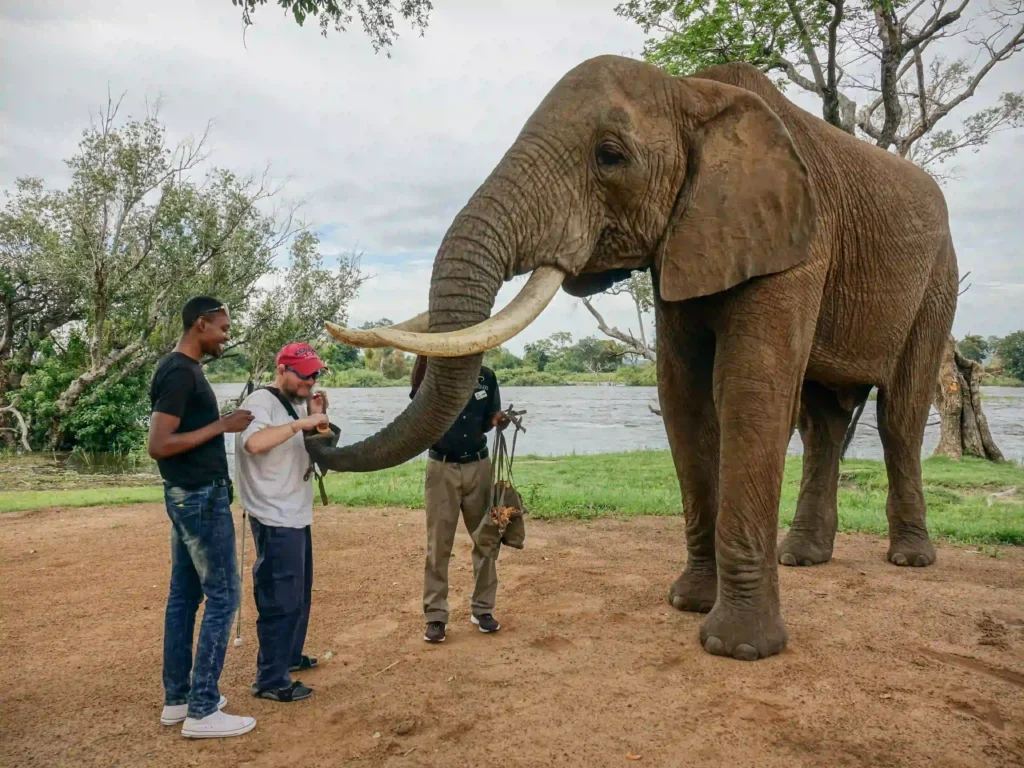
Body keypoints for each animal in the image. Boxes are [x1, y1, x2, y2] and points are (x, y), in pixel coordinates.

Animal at [308, 55, 958, 661]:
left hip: (938, 281)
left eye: (610, 156)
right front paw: (687, 602)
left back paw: (909, 559)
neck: (692, 91)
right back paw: (802, 558)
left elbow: (751, 390)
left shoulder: (798, 240)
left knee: (898, 414)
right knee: (823, 421)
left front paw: (738, 648)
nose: (322, 433)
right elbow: (682, 396)